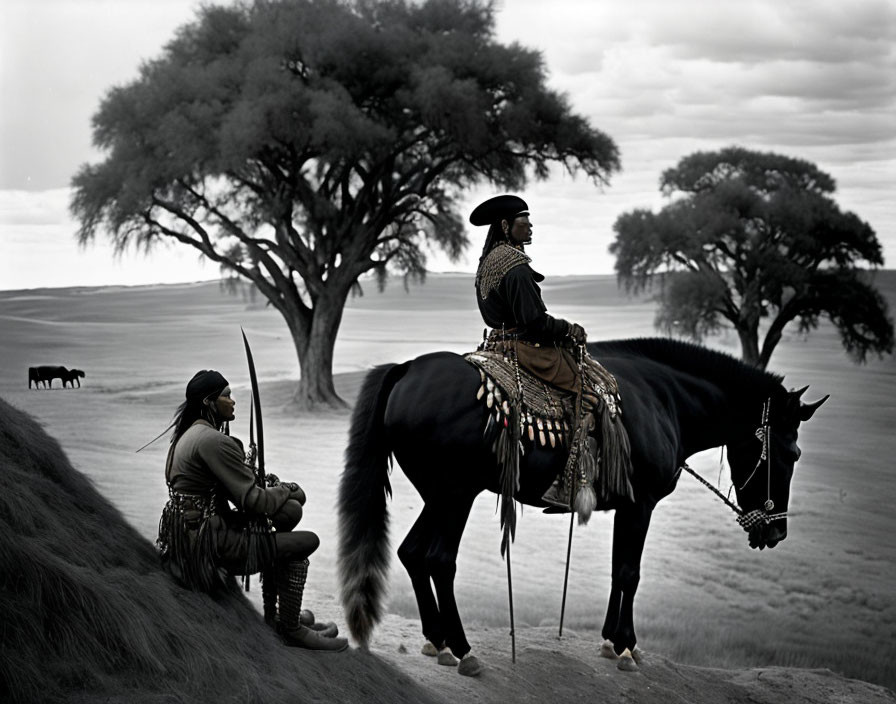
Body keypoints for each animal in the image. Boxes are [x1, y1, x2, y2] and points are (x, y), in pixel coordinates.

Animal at [336, 338, 824, 672]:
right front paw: (626, 645)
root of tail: (406, 369)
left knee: (413, 553)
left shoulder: (626, 508)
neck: (665, 401)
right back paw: (462, 648)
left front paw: (610, 641)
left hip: (437, 496)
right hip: (456, 494)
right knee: (438, 558)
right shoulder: (641, 506)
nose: (776, 531)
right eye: (792, 453)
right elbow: (629, 572)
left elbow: (617, 570)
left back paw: (437, 640)